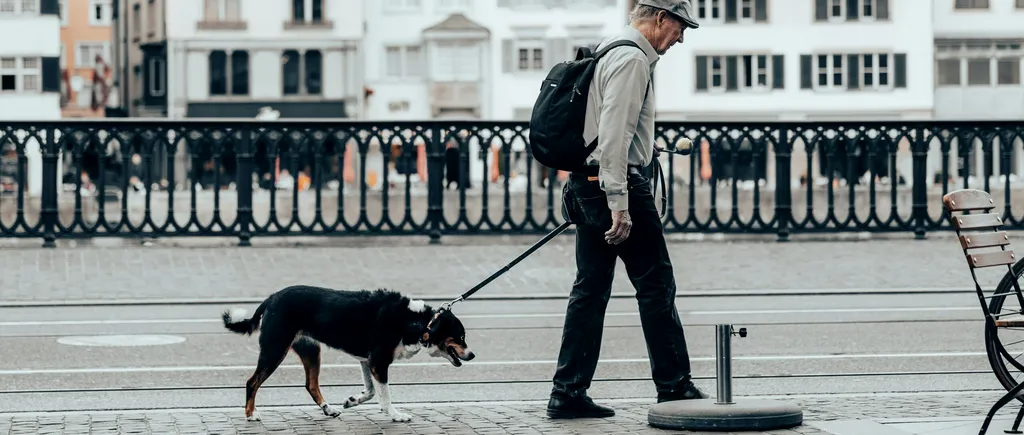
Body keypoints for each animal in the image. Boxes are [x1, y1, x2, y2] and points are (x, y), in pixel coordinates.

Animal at [221, 284, 475, 419]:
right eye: (461, 337)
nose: (472, 355)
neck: (419, 322)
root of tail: (271, 298)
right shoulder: (378, 362)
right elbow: (384, 395)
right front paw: (395, 415)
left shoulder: (367, 361)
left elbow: (371, 391)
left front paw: (353, 401)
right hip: (275, 349)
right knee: (252, 382)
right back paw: (251, 415)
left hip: (311, 351)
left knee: (311, 384)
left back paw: (328, 409)